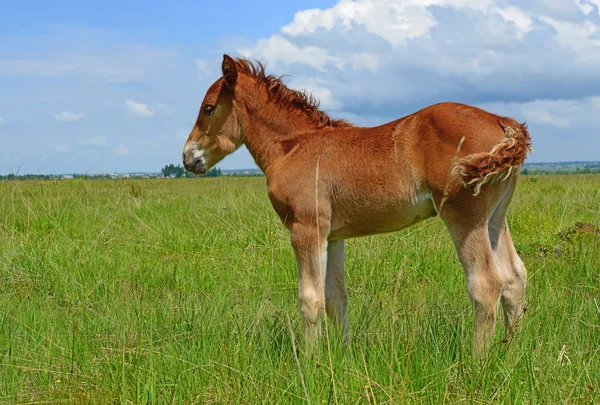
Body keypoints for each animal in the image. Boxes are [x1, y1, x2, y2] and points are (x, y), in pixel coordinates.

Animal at [182, 54, 528, 354]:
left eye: (209, 108)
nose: (188, 158)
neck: (294, 147)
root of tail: (502, 121)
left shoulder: (306, 229)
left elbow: (310, 299)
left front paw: (310, 361)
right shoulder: (332, 236)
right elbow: (336, 299)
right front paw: (343, 355)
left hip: (464, 218)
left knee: (486, 284)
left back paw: (477, 361)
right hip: (495, 218)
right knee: (514, 278)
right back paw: (509, 353)